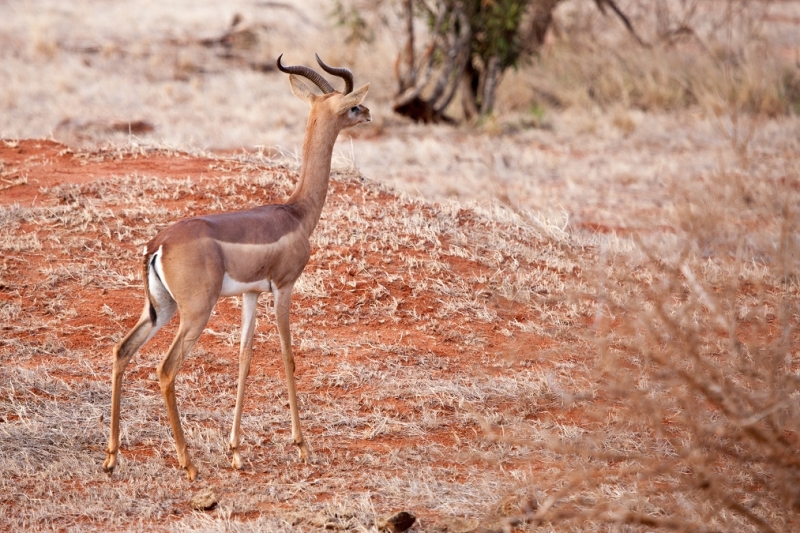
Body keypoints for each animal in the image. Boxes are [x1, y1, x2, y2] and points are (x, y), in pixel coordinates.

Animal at [102, 54, 372, 478]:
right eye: (352, 107)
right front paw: (301, 447)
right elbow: (288, 355)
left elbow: (245, 357)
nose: (369, 115)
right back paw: (188, 464)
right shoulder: (283, 287)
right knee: (165, 369)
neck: (296, 212)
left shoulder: (251, 294)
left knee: (121, 350)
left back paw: (112, 458)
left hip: (161, 308)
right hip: (195, 313)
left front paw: (236, 450)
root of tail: (159, 245)